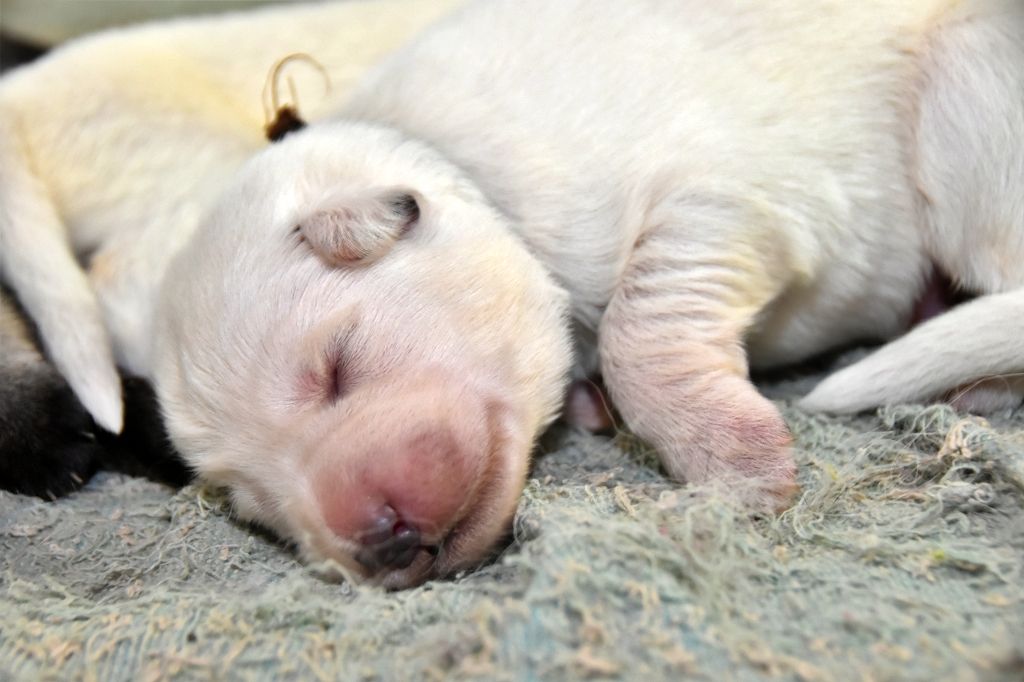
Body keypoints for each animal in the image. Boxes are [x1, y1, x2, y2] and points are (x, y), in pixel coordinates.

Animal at [3, 0, 1022, 588]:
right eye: (249, 505)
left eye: (336, 368)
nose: (375, 544)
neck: (461, 162)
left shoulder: (725, 198)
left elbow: (640, 335)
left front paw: (732, 476)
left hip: (962, 100)